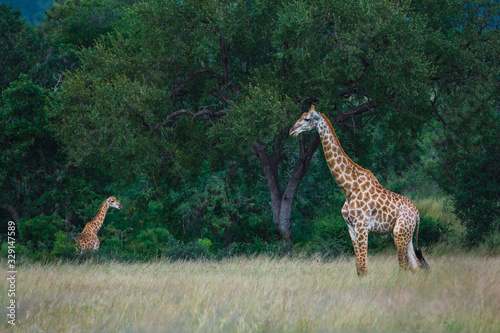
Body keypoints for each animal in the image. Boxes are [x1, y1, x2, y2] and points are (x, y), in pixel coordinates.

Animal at [290, 104, 430, 274]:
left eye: (307, 119)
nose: (292, 130)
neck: (348, 187)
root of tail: (417, 213)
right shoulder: (351, 228)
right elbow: (359, 268)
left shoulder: (362, 226)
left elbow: (364, 267)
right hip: (406, 234)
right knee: (416, 265)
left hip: (399, 233)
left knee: (404, 266)